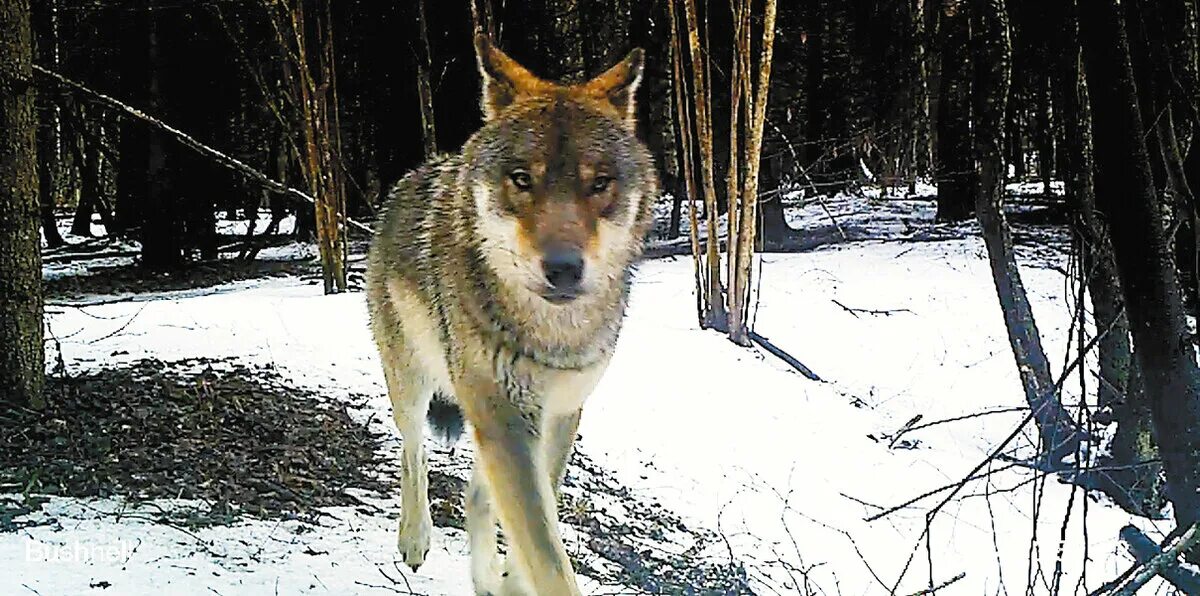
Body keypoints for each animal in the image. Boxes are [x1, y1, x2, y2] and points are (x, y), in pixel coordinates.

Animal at [364, 37, 657, 594]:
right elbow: (545, 556)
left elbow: (530, 533)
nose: (563, 268)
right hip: (412, 382)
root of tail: (411, 177)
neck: (552, 337)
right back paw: (414, 541)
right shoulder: (501, 416)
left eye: (599, 184)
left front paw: (507, 580)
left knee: (475, 495)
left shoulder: (560, 413)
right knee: (413, 453)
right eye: (522, 179)